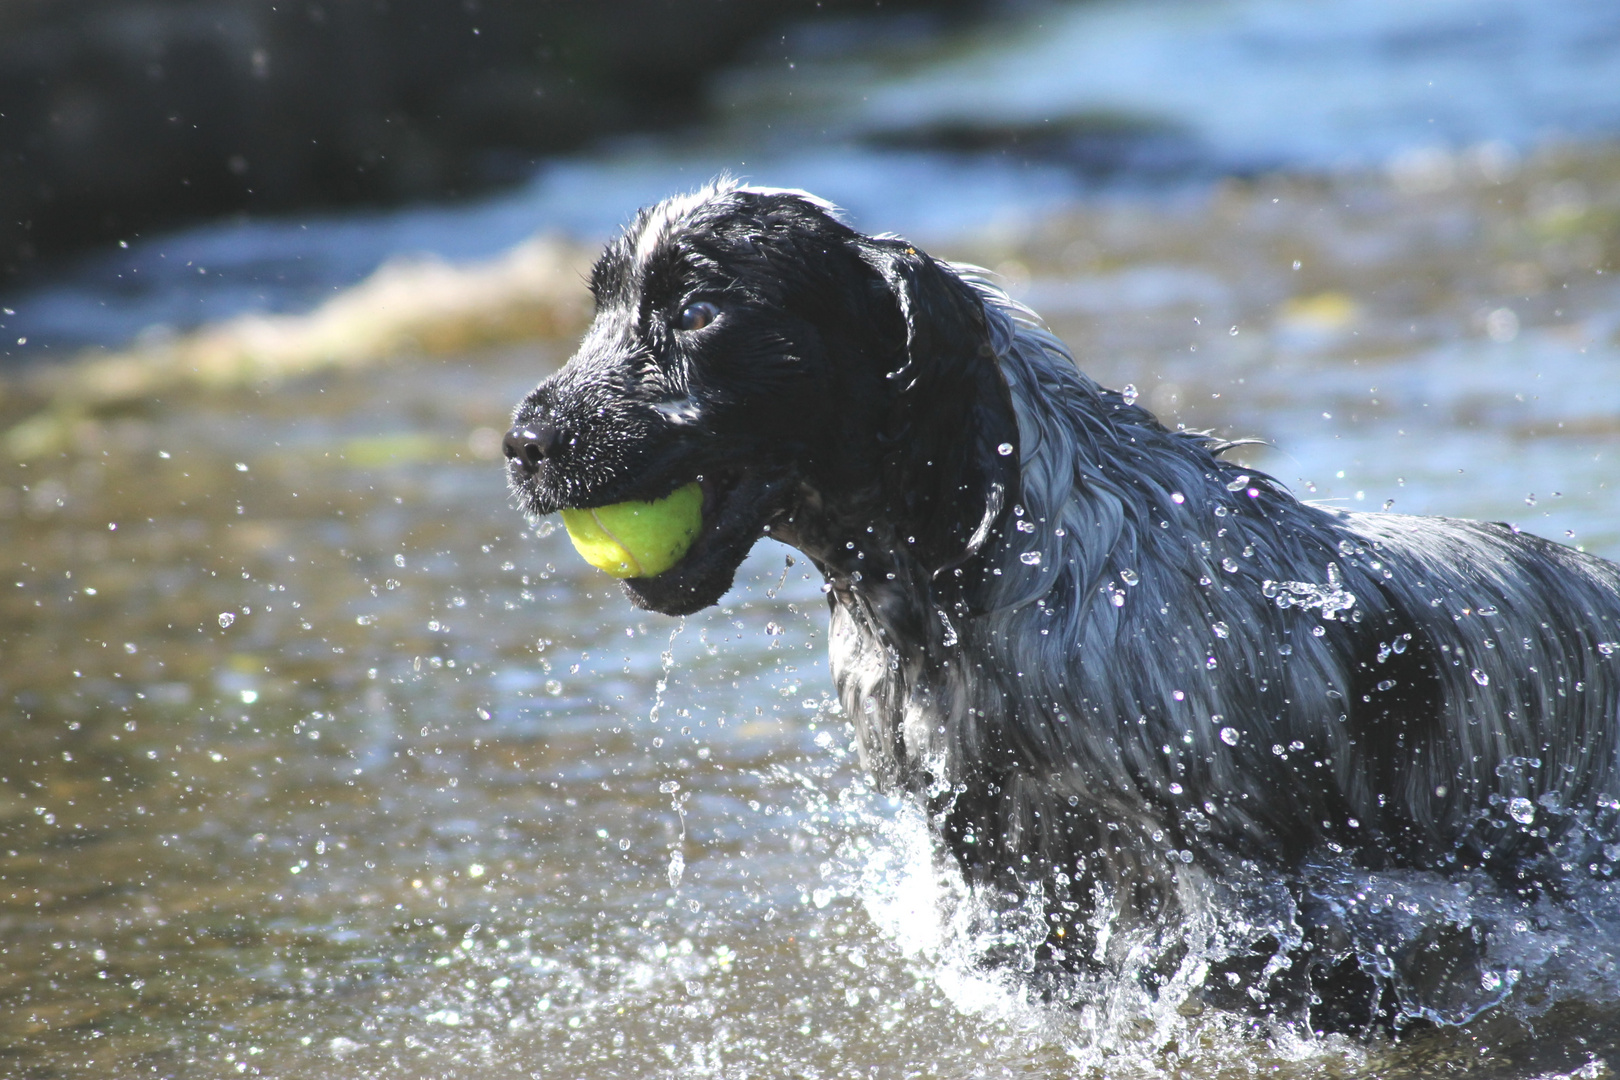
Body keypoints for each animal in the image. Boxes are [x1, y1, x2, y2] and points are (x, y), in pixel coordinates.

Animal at [505, 183, 1620, 1029]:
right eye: (600, 310)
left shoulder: (1236, 886)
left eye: (699, 312)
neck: (974, 582)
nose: (524, 444)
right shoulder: (994, 862)